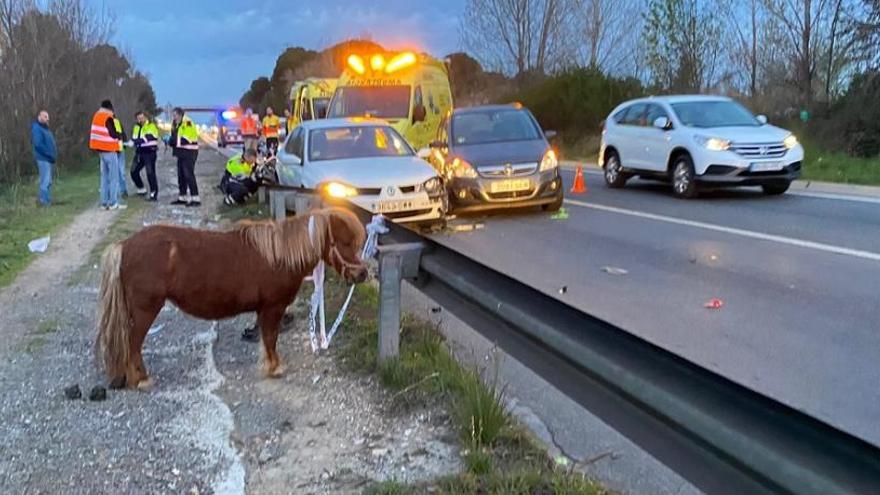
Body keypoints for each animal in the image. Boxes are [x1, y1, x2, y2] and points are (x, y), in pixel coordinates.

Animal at [96, 207, 368, 390]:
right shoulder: (273, 307)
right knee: (133, 343)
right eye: (344, 242)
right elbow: (271, 338)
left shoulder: (264, 310)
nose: (362, 274)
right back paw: (141, 380)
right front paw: (275, 368)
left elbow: (266, 338)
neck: (279, 255)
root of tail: (123, 246)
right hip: (146, 310)